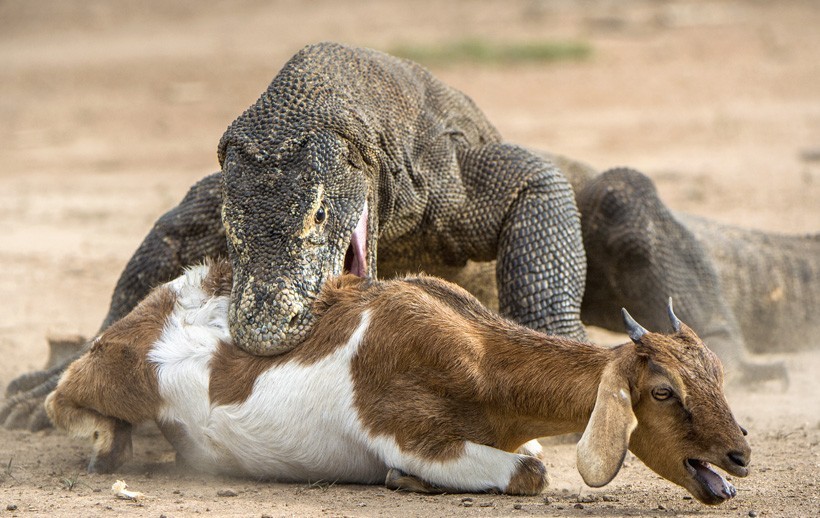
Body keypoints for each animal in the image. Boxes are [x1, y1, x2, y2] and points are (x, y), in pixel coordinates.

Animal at [43, 260, 748, 508]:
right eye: (664, 391)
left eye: (716, 375)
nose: (739, 452)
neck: (480, 357)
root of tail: (178, 290)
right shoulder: (411, 432)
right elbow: (530, 472)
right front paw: (402, 480)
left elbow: (530, 456)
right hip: (118, 372)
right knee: (63, 395)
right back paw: (107, 445)